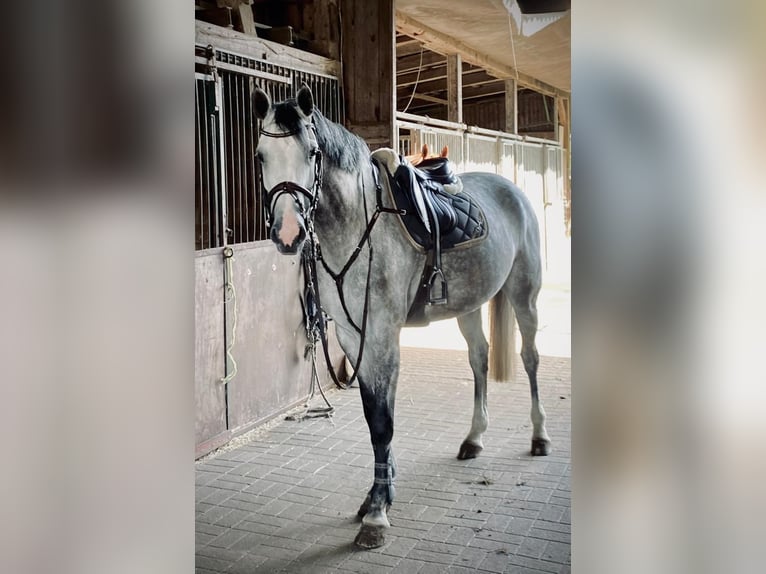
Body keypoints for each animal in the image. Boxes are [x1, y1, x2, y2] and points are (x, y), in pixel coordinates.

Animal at [252, 85, 551, 549]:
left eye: (313, 152)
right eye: (261, 155)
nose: (288, 233)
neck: (358, 226)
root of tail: (511, 190)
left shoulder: (382, 332)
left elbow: (383, 422)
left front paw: (377, 513)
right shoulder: (354, 336)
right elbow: (373, 411)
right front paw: (378, 495)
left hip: (525, 293)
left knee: (531, 358)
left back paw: (539, 437)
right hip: (469, 305)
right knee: (479, 359)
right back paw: (474, 438)